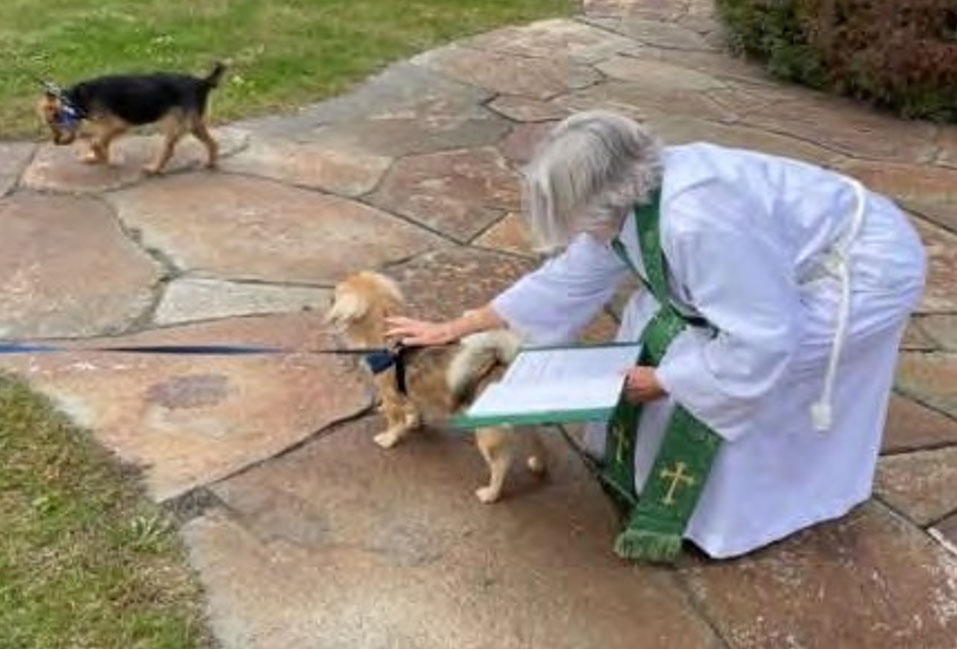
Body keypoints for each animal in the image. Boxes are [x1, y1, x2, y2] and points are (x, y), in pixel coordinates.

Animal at [36, 62, 227, 173]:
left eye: (53, 121)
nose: (56, 142)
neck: (76, 100)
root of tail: (201, 83)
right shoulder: (108, 128)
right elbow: (101, 142)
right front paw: (97, 157)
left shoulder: (118, 125)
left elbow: (97, 142)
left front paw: (104, 159)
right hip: (194, 124)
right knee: (213, 143)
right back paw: (211, 164)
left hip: (175, 124)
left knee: (168, 149)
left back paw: (154, 168)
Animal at [324, 268, 544, 502]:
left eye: (336, 294)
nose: (330, 297)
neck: (388, 337)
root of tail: (507, 365)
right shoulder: (410, 390)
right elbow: (414, 407)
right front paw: (414, 422)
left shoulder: (390, 394)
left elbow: (394, 421)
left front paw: (389, 439)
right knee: (538, 442)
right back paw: (538, 464)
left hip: (487, 434)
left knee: (500, 466)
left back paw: (490, 493)